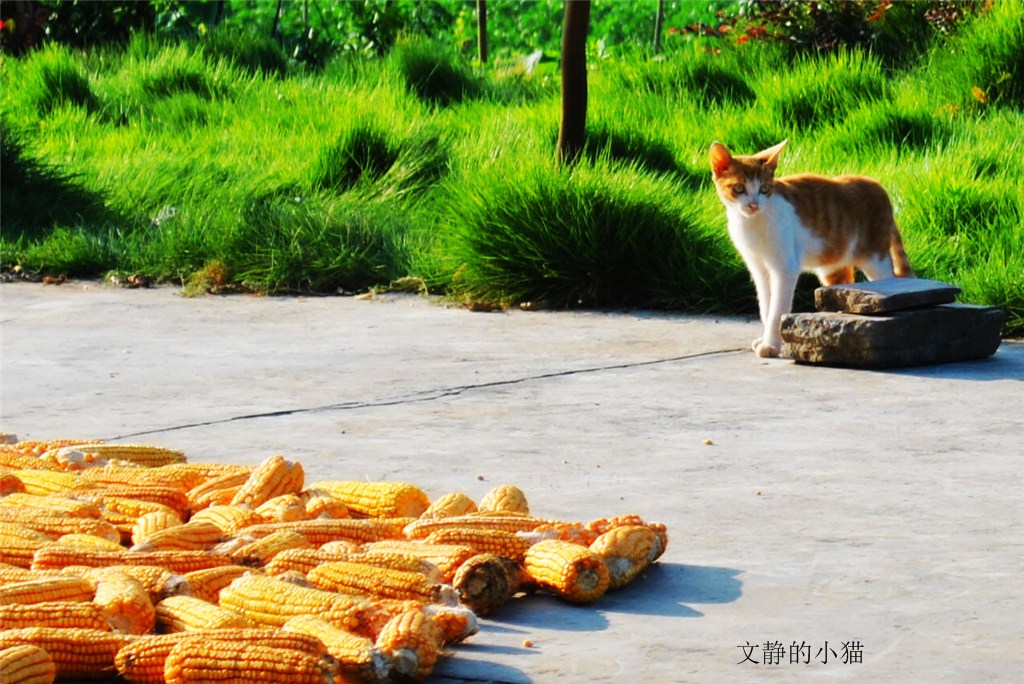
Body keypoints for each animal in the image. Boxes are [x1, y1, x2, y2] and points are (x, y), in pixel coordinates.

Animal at [708, 141, 917, 360]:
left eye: (764, 189)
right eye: (739, 188)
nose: (753, 204)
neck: (751, 223)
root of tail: (877, 184)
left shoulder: (785, 268)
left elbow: (777, 309)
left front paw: (771, 345)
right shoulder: (758, 268)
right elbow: (765, 306)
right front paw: (767, 339)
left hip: (876, 259)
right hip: (833, 263)